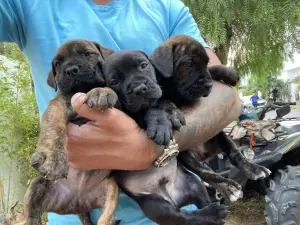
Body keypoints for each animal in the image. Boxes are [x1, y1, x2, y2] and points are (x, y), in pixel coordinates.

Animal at [23, 40, 119, 225]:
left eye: (87, 54)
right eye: (58, 64)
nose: (71, 69)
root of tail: (78, 204)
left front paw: (100, 91)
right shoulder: (58, 105)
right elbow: (55, 129)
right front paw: (53, 158)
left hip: (111, 188)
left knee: (106, 217)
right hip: (36, 187)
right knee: (32, 215)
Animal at [99, 50, 230, 225]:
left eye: (144, 65)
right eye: (114, 82)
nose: (139, 88)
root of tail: (173, 199)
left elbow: (160, 101)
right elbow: (149, 108)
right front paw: (160, 125)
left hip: (193, 185)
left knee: (200, 200)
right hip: (154, 205)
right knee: (182, 217)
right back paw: (212, 214)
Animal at [149, 34, 270, 200]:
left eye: (206, 62)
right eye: (189, 63)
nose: (208, 85)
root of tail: (203, 154)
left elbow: (212, 70)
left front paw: (230, 73)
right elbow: (162, 100)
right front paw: (171, 113)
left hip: (221, 138)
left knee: (235, 155)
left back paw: (253, 168)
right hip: (187, 156)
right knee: (206, 173)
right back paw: (228, 187)